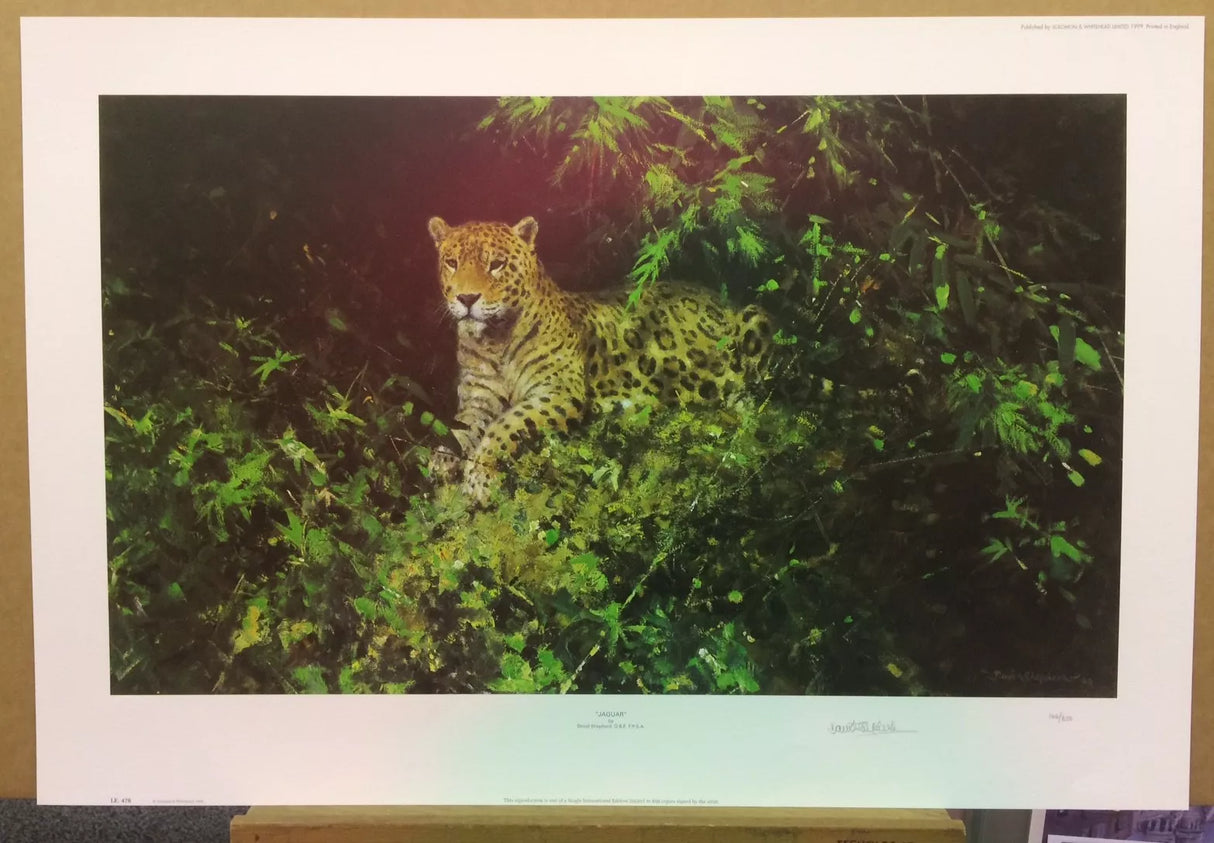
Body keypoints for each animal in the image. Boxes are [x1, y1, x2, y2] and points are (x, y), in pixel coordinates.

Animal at [426, 214, 773, 503]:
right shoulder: (479, 399)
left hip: (755, 319)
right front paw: (442, 458)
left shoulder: (558, 392)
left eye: (496, 264)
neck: (493, 341)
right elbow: (459, 427)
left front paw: (479, 477)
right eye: (452, 262)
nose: (467, 298)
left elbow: (507, 424)